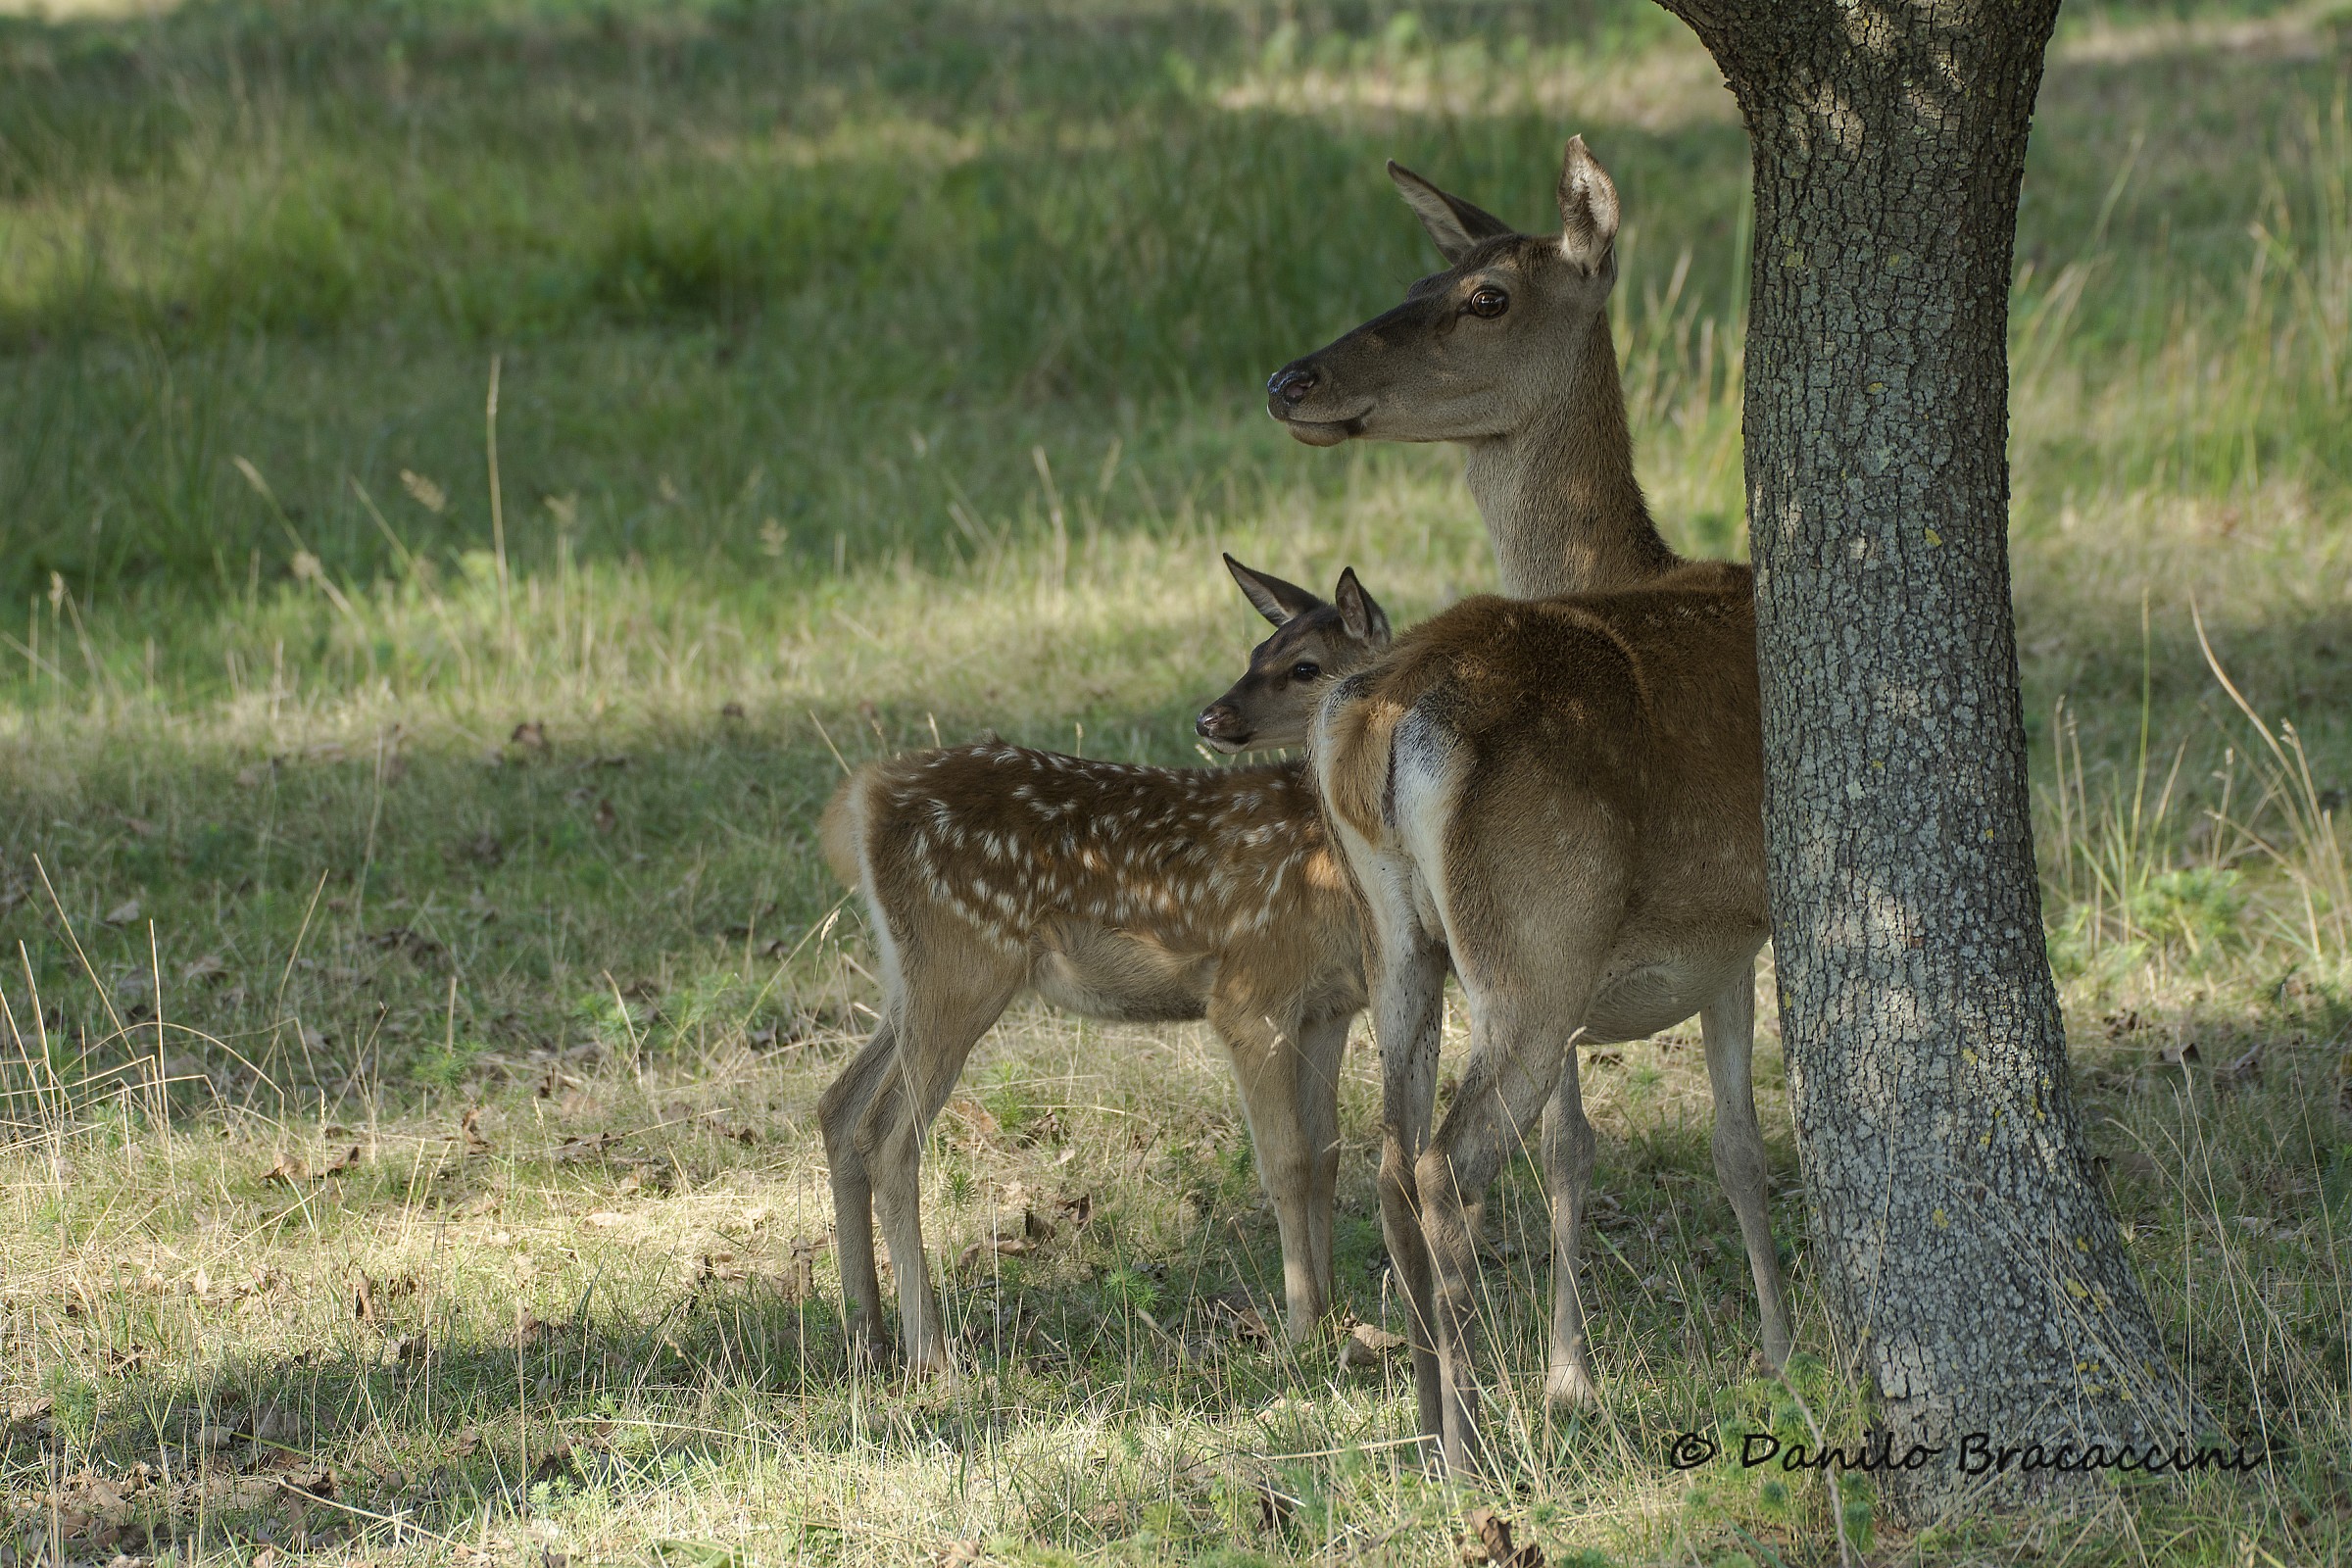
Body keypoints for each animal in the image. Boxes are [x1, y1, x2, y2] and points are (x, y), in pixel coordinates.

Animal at [818, 562, 1383, 1372]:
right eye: (1257, 650)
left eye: (1304, 665)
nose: (1210, 719)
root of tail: (858, 801)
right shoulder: (1250, 995)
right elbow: (1289, 1162)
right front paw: (1301, 1332)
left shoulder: (1329, 1007)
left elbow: (1330, 1154)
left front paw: (1336, 1317)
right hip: (964, 968)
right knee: (890, 1138)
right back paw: (934, 1355)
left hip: (915, 975)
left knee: (839, 1106)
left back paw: (867, 1335)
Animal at [1279, 140, 1788, 1466]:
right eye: (1426, 275)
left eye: (1482, 293)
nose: (1290, 377)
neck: (1638, 562)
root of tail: (1380, 716)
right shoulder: (1731, 929)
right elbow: (1727, 1142)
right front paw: (1775, 1351)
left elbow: (1623, 1146)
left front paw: (1582, 1371)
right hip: (1535, 932)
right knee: (1448, 1162)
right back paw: (1476, 1440)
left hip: (1412, 944)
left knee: (1391, 1155)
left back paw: (1427, 1419)